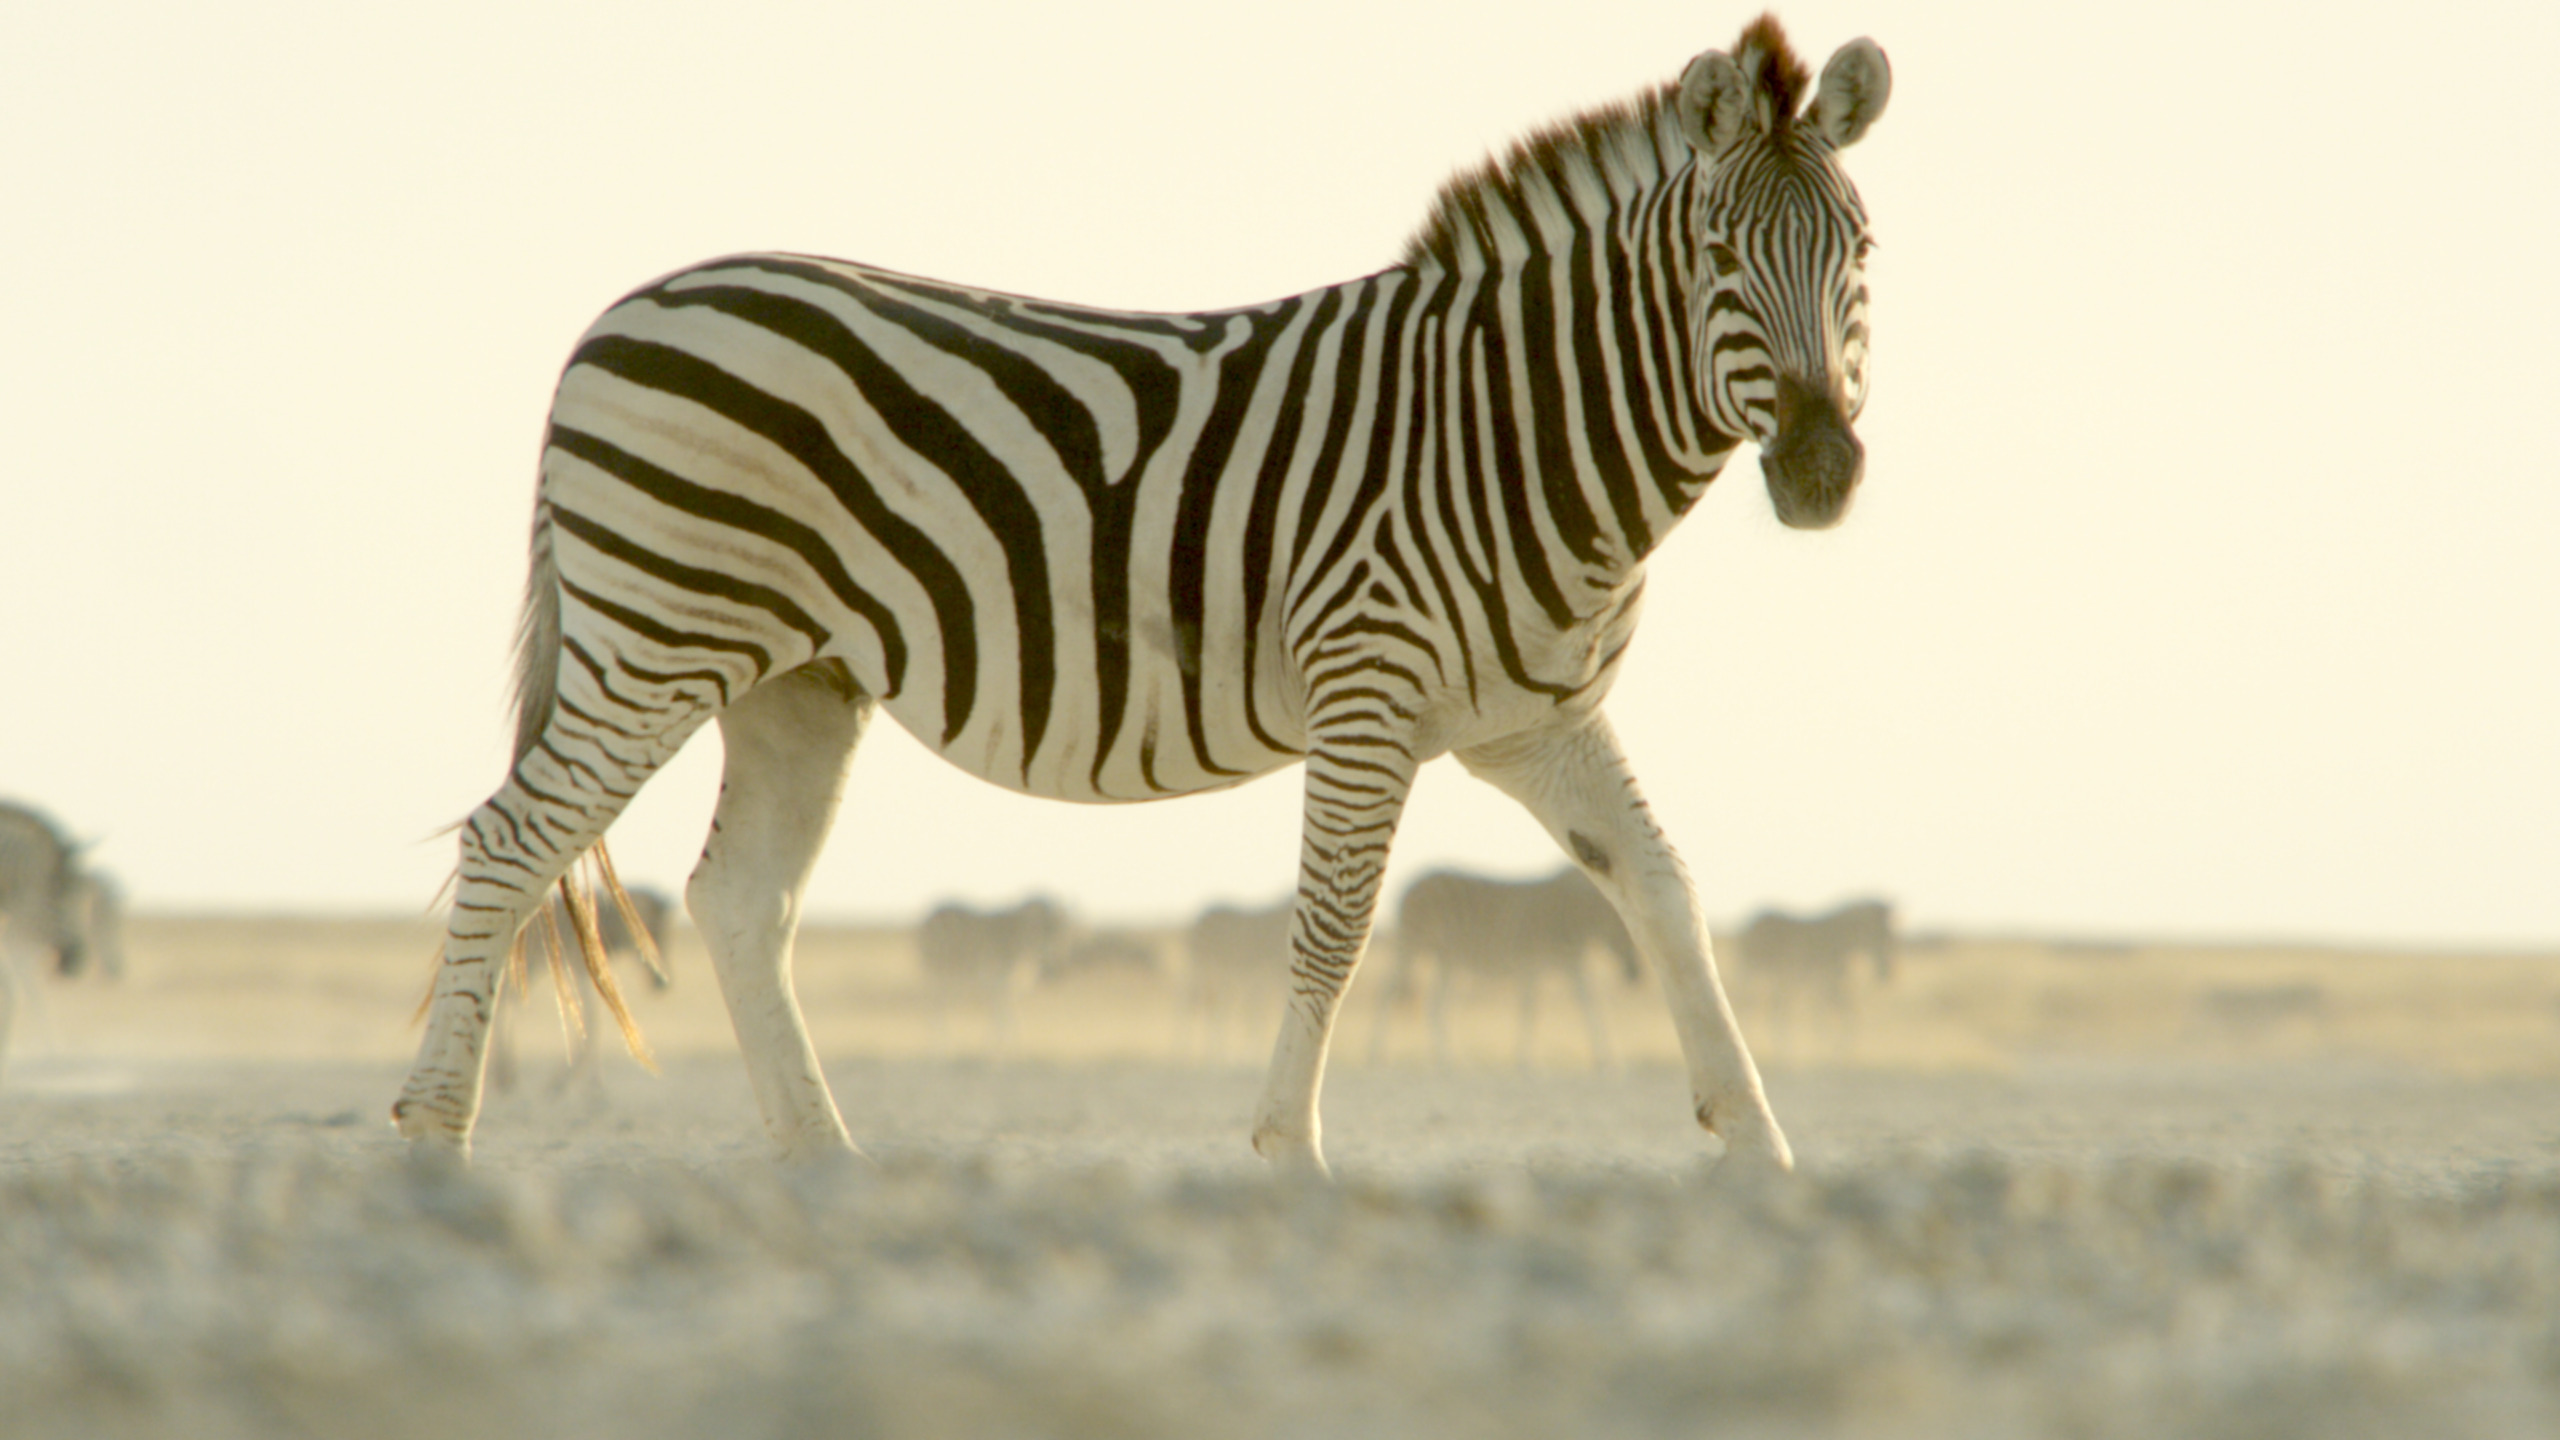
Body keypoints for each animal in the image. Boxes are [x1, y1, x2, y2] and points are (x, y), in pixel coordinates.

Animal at [1382, 860, 1638, 1065]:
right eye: (1625, 933)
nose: (1635, 976)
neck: (1572, 918)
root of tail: (1410, 884)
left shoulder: (1571, 967)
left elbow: (1591, 1007)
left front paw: (1608, 1060)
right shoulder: (1530, 964)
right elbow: (1530, 1011)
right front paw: (1524, 1062)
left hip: (1446, 960)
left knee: (1434, 1004)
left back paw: (1448, 1061)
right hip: (1412, 943)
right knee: (1387, 993)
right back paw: (1377, 1056)